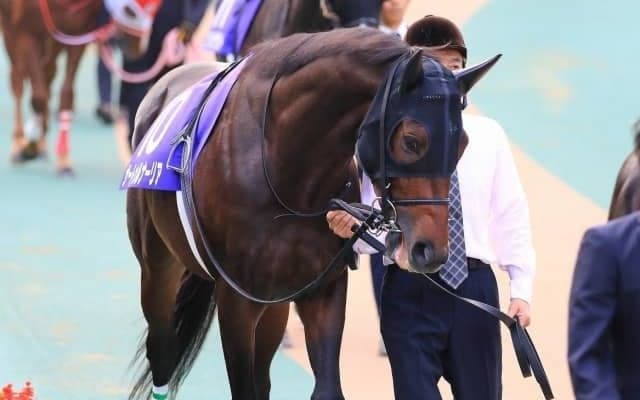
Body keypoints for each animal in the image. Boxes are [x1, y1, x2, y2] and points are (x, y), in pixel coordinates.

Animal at [0, 0, 160, 174]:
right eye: (130, 11)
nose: (138, 47)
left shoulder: (76, 33)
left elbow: (66, 93)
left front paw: (63, 159)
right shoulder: (25, 33)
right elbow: (37, 98)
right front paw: (29, 147)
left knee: (47, 74)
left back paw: (42, 144)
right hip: (11, 33)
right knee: (18, 82)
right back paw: (18, 142)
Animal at [124, 28, 499, 399]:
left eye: (463, 143)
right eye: (411, 140)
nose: (430, 250)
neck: (285, 174)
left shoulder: (323, 285)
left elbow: (327, 387)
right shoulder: (236, 300)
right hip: (158, 268)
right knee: (161, 349)